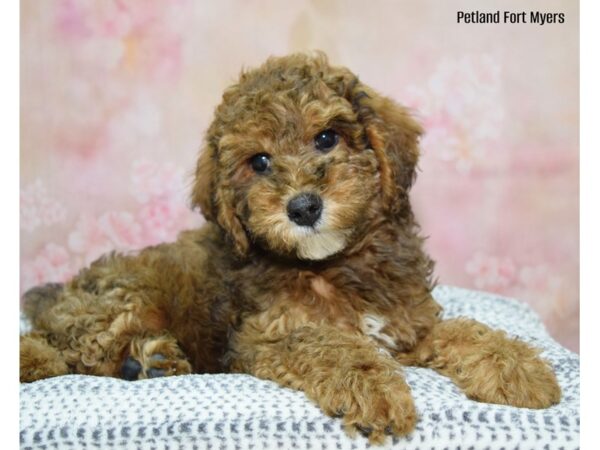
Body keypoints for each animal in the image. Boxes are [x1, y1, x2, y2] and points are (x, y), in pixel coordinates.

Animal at [19, 52, 564, 442]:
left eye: (326, 138)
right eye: (259, 162)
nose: (303, 207)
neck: (335, 264)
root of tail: (59, 295)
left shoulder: (407, 327)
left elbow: (465, 331)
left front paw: (516, 368)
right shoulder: (262, 337)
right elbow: (326, 342)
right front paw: (373, 386)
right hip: (123, 297)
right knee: (75, 345)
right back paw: (128, 361)